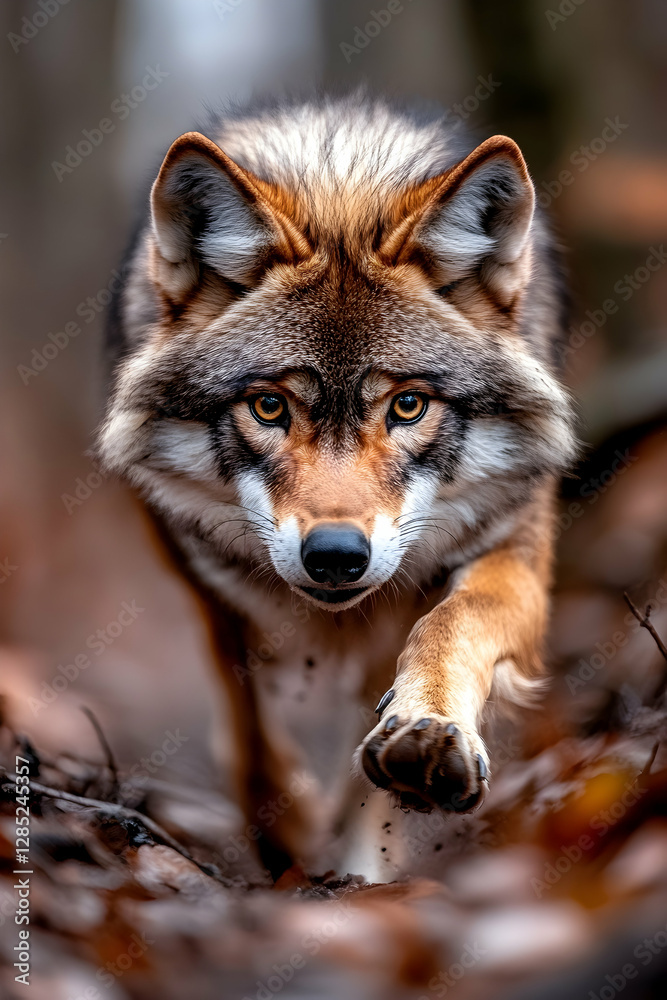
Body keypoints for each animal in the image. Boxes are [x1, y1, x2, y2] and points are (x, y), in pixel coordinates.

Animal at [98, 94, 576, 880]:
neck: (339, 184)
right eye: (269, 407)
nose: (334, 557)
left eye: (407, 406)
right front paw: (291, 836)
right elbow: (249, 725)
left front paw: (422, 741)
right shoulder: (209, 584)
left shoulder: (511, 545)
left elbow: (456, 620)